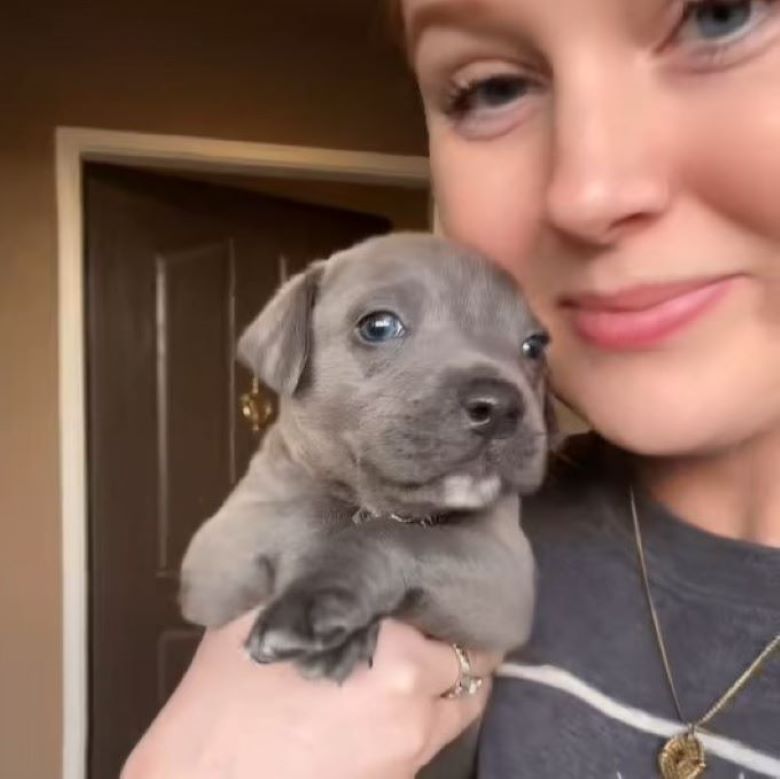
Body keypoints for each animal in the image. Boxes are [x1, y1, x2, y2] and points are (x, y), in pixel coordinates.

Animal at [181, 230, 552, 688]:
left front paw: (314, 602)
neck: (377, 504)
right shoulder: (220, 549)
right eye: (379, 326)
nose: (500, 407)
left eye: (534, 347)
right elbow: (305, 523)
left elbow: (392, 537)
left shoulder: (504, 575)